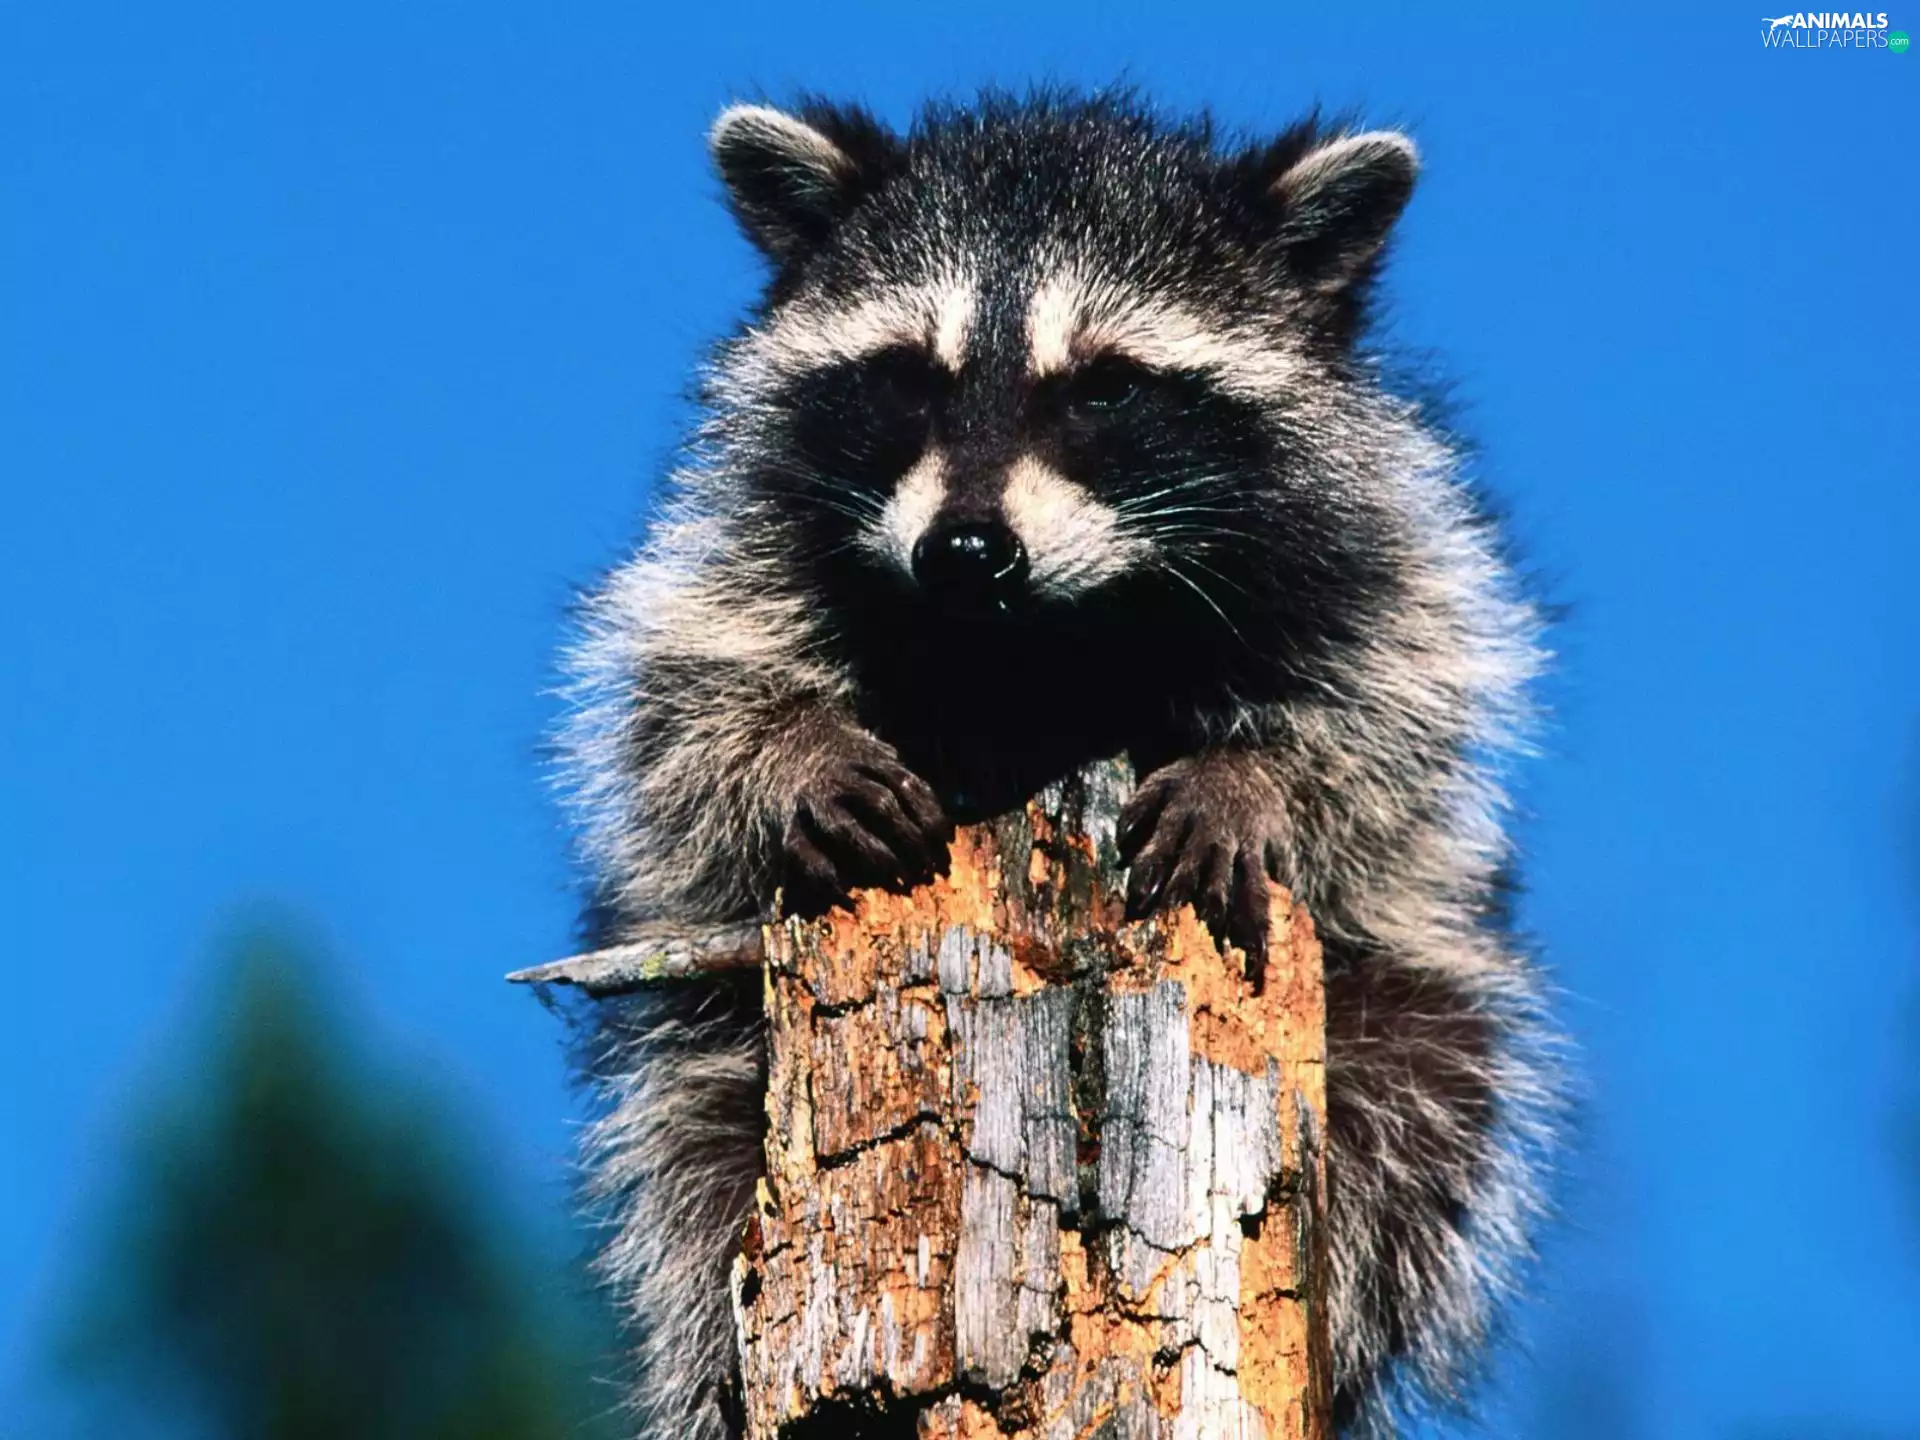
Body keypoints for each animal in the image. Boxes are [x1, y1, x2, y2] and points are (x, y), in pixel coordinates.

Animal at [560, 91, 1555, 1437]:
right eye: (907, 378)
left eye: (1105, 389)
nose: (966, 550)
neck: (1035, 644)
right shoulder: (755, 539)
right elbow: (682, 691)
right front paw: (791, 752)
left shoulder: (1377, 557)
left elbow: (1387, 709)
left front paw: (1257, 778)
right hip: (706, 1050)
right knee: (692, 1149)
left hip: (1409, 1003)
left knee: (1417, 1111)